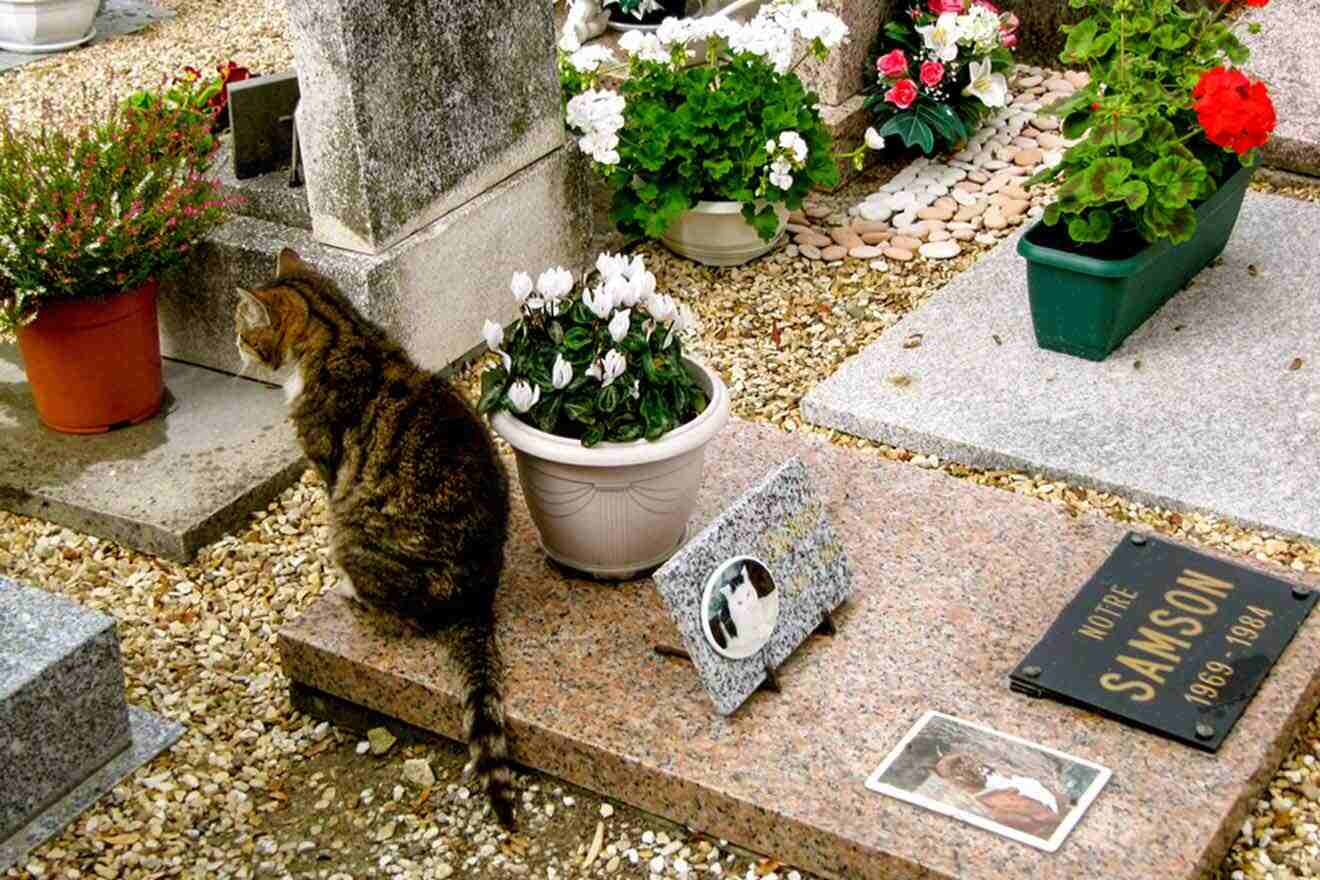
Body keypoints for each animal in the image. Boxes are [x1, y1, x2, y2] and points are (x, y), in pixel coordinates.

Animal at [234, 248, 512, 828]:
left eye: (244, 332)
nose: (233, 343)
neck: (340, 330)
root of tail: (474, 600)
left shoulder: (326, 464)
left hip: (351, 530)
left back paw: (351, 593)